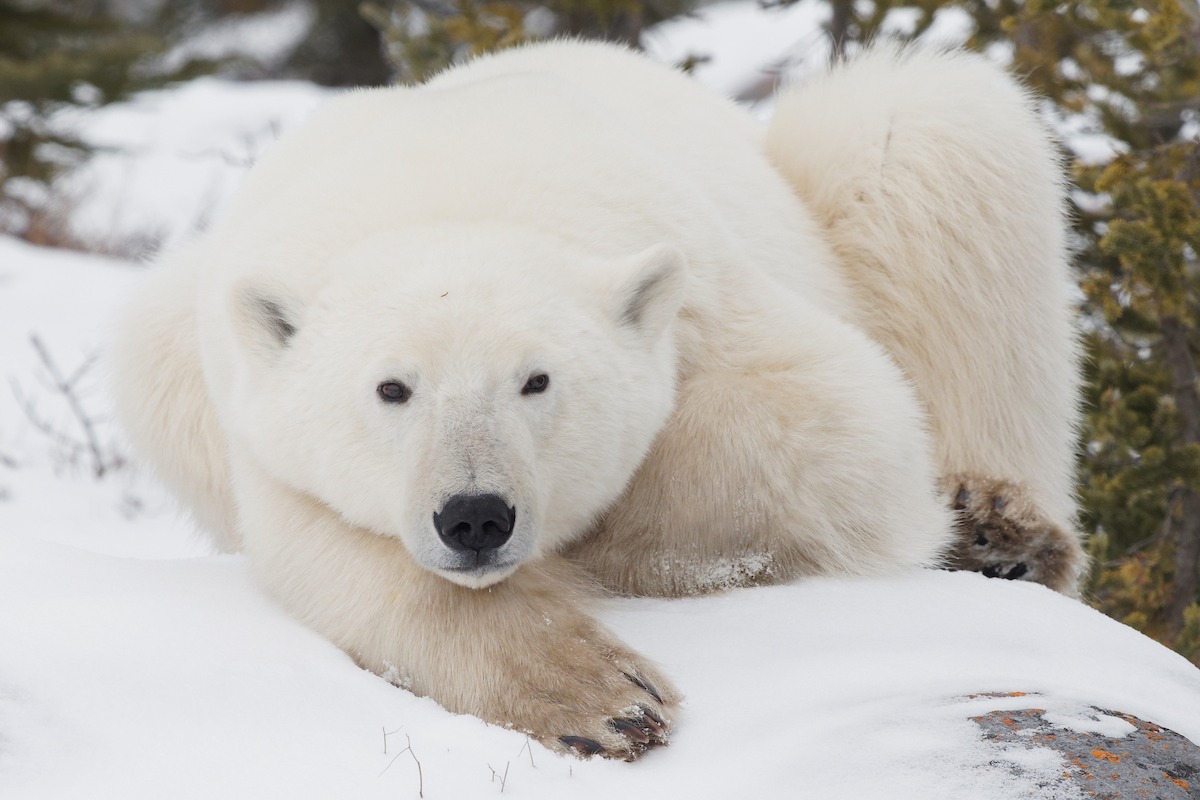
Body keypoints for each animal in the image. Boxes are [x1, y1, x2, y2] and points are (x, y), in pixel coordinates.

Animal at [110, 41, 1085, 760]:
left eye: (536, 380)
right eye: (392, 388)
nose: (475, 516)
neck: (449, 190)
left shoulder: (706, 287)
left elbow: (833, 428)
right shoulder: (254, 424)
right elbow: (328, 551)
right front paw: (602, 697)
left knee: (935, 142)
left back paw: (1001, 529)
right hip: (171, 334)